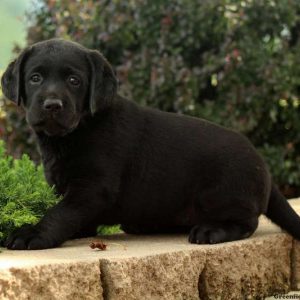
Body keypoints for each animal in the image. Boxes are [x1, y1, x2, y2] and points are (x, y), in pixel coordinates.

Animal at [0, 38, 300, 250]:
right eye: (35, 78)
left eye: (74, 81)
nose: (52, 105)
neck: (73, 134)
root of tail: (264, 168)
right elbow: (71, 215)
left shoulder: (92, 188)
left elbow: (60, 213)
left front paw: (33, 233)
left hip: (221, 191)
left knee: (248, 221)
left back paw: (211, 230)